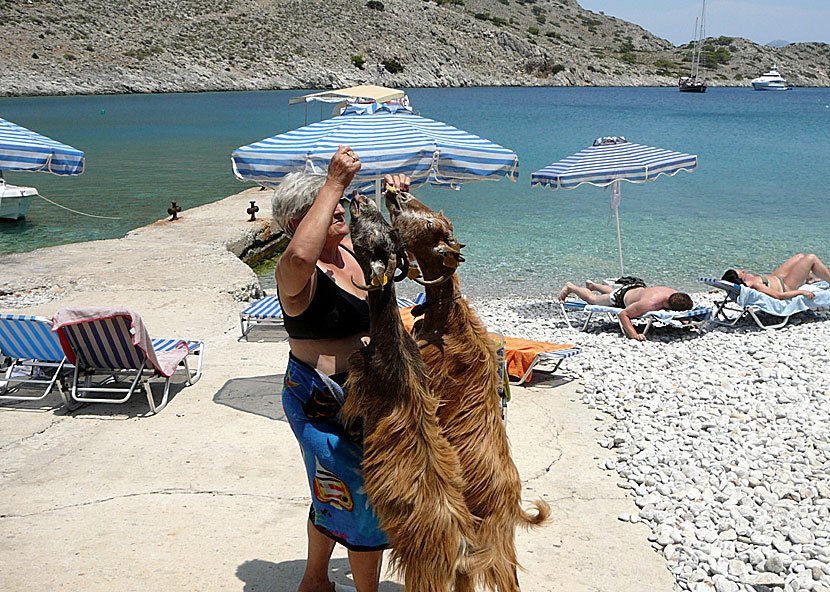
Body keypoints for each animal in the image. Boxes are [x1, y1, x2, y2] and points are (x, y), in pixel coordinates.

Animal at [338, 194, 480, 592]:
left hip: (423, 570)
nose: (359, 197)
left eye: (369, 237)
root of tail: (461, 551)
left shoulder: (360, 382)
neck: (393, 350)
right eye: (387, 229)